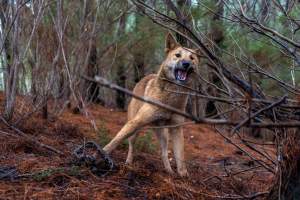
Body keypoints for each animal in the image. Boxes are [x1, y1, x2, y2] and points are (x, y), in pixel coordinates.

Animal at [103, 32, 199, 177]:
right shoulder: (137, 122)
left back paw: (169, 171)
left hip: (163, 134)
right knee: (131, 146)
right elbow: (116, 139)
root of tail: (143, 78)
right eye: (177, 55)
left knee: (164, 153)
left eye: (192, 58)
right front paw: (103, 151)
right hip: (135, 128)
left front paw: (183, 174)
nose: (186, 63)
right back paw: (128, 163)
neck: (171, 98)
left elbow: (180, 155)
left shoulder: (176, 129)